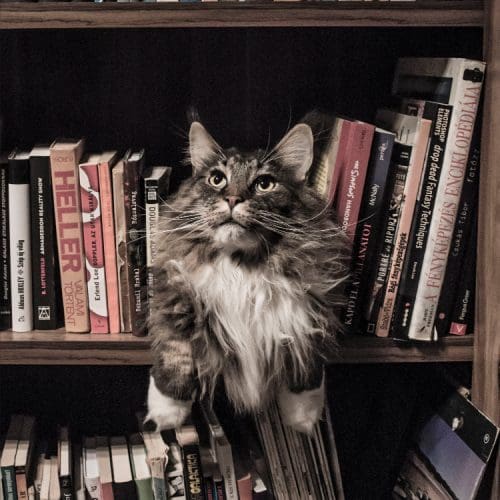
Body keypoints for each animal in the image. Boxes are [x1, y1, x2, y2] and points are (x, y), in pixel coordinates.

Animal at [146, 118, 348, 434]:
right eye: (217, 179)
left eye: (264, 184)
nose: (232, 198)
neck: (241, 267)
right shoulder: (176, 292)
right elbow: (176, 352)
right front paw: (167, 412)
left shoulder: (308, 305)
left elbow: (305, 361)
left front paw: (303, 417)